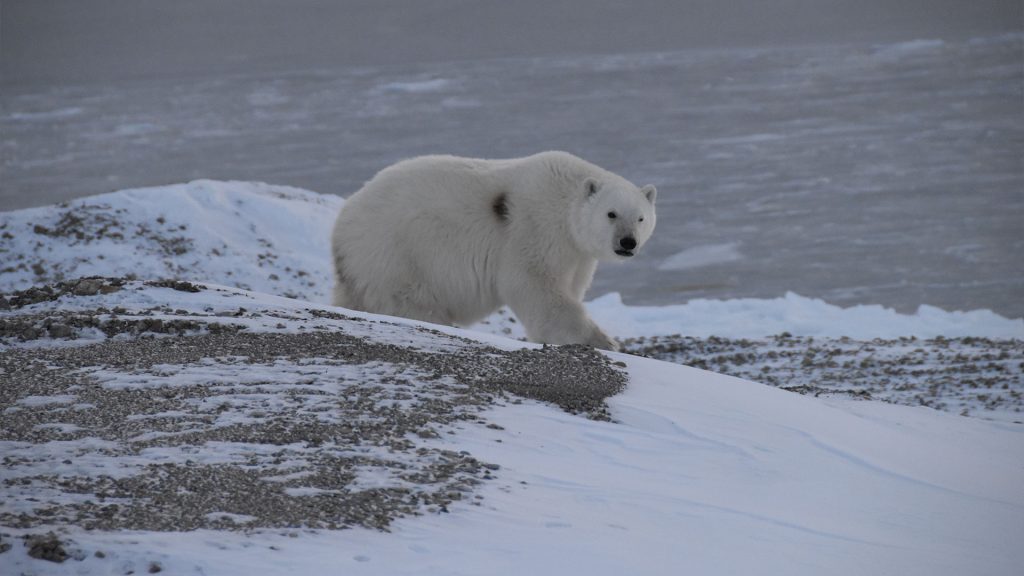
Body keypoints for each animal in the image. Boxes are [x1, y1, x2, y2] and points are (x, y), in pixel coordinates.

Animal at [331, 151, 659, 350]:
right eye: (611, 214)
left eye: (640, 218)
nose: (627, 242)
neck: (566, 197)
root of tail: (342, 224)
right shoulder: (536, 229)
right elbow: (536, 287)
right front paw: (604, 341)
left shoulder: (576, 253)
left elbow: (567, 287)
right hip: (398, 254)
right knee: (413, 302)